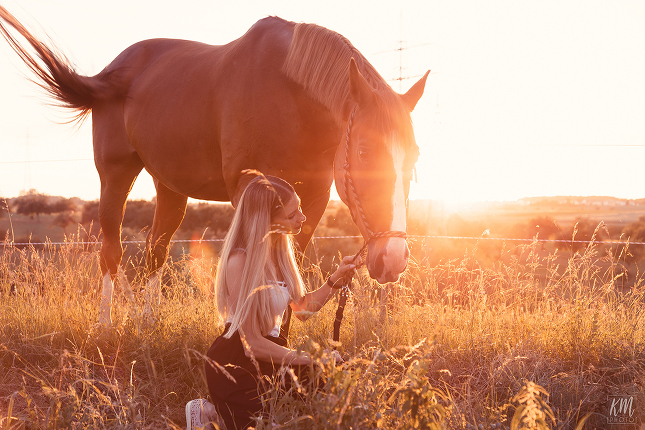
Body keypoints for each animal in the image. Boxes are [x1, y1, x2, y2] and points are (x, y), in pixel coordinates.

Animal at [0, 6, 428, 326]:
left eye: (415, 157)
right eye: (364, 153)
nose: (393, 259)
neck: (289, 97)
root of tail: (108, 74)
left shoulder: (313, 201)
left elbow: (292, 267)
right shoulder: (248, 192)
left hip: (170, 187)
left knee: (155, 250)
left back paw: (147, 321)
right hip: (115, 175)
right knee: (111, 250)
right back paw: (109, 323)